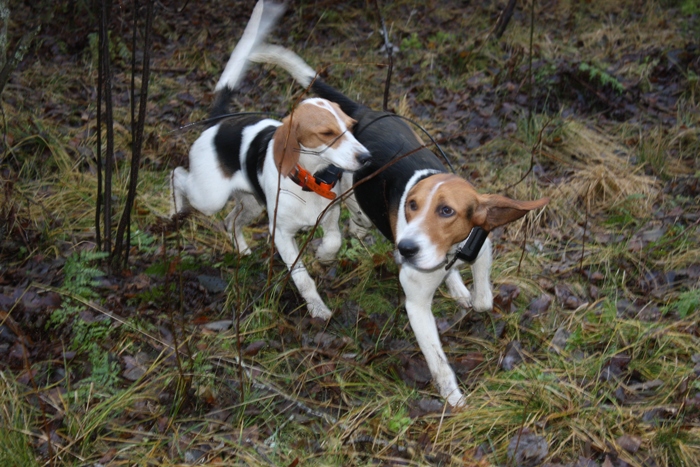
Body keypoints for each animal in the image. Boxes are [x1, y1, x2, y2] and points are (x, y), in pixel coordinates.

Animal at [170, 0, 372, 320]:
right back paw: (177, 206)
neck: (310, 180)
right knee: (178, 174)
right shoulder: (282, 236)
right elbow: (302, 277)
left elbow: (334, 240)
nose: (366, 158)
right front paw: (317, 308)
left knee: (231, 220)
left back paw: (241, 248)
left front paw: (324, 256)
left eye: (351, 126)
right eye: (327, 133)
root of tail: (217, 123)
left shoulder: (329, 218)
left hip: (251, 203)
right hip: (209, 196)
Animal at [249, 44, 548, 410]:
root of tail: (363, 112)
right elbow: (437, 359)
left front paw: (464, 289)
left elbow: (483, 299)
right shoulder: (417, 303)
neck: (448, 251)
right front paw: (453, 399)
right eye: (411, 205)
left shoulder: (481, 246)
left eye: (446, 211)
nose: (404, 249)